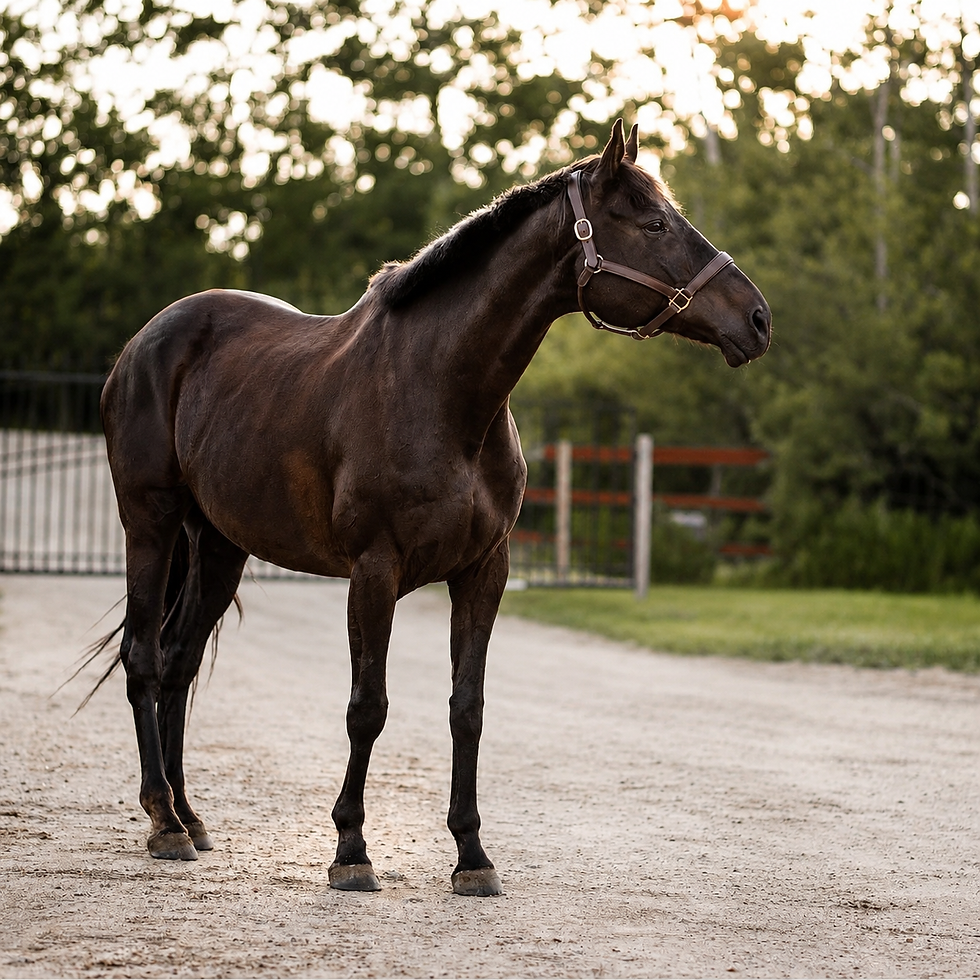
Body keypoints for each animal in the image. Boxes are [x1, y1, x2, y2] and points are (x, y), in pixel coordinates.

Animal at [97, 120, 770, 897]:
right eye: (655, 223)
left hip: (218, 544)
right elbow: (368, 707)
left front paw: (472, 855)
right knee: (144, 657)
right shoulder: (374, 572)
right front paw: (351, 849)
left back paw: (190, 816)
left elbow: (466, 708)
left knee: (179, 663)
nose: (758, 318)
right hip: (149, 525)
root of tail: (144, 343)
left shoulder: (484, 572)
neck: (441, 389)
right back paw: (163, 822)